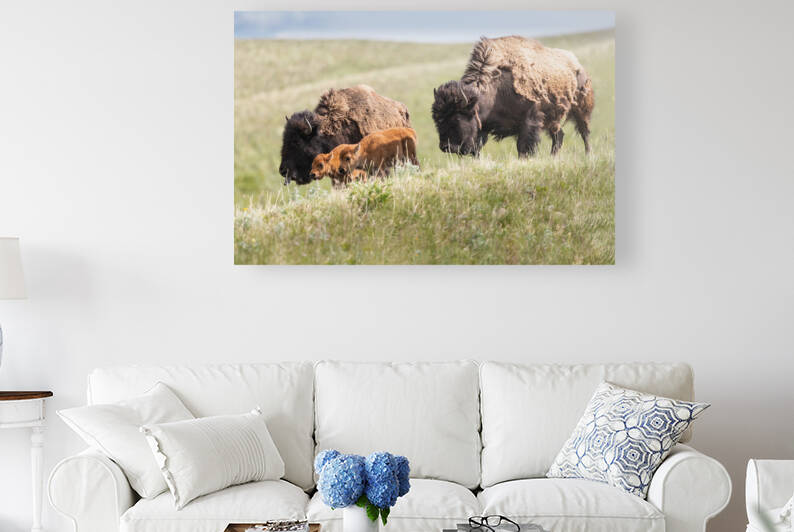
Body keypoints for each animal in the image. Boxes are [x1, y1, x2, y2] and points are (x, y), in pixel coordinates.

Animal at [431, 36, 594, 157]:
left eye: (457, 118)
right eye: (437, 119)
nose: (446, 147)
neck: (496, 91)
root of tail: (579, 67)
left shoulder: (529, 120)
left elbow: (523, 147)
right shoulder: (483, 128)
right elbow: (478, 148)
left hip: (581, 109)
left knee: (584, 133)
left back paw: (588, 156)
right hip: (552, 120)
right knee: (559, 136)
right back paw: (553, 158)